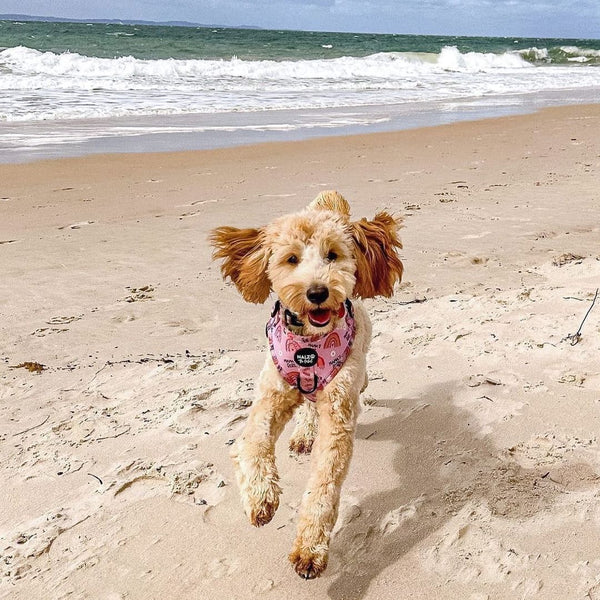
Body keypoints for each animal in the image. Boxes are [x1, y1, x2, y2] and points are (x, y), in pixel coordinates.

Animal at [210, 190, 404, 580]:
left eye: (333, 255)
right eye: (291, 259)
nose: (317, 291)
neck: (310, 348)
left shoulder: (338, 414)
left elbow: (324, 485)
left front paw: (310, 548)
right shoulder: (271, 397)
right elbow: (252, 443)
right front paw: (261, 498)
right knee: (306, 408)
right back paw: (302, 433)